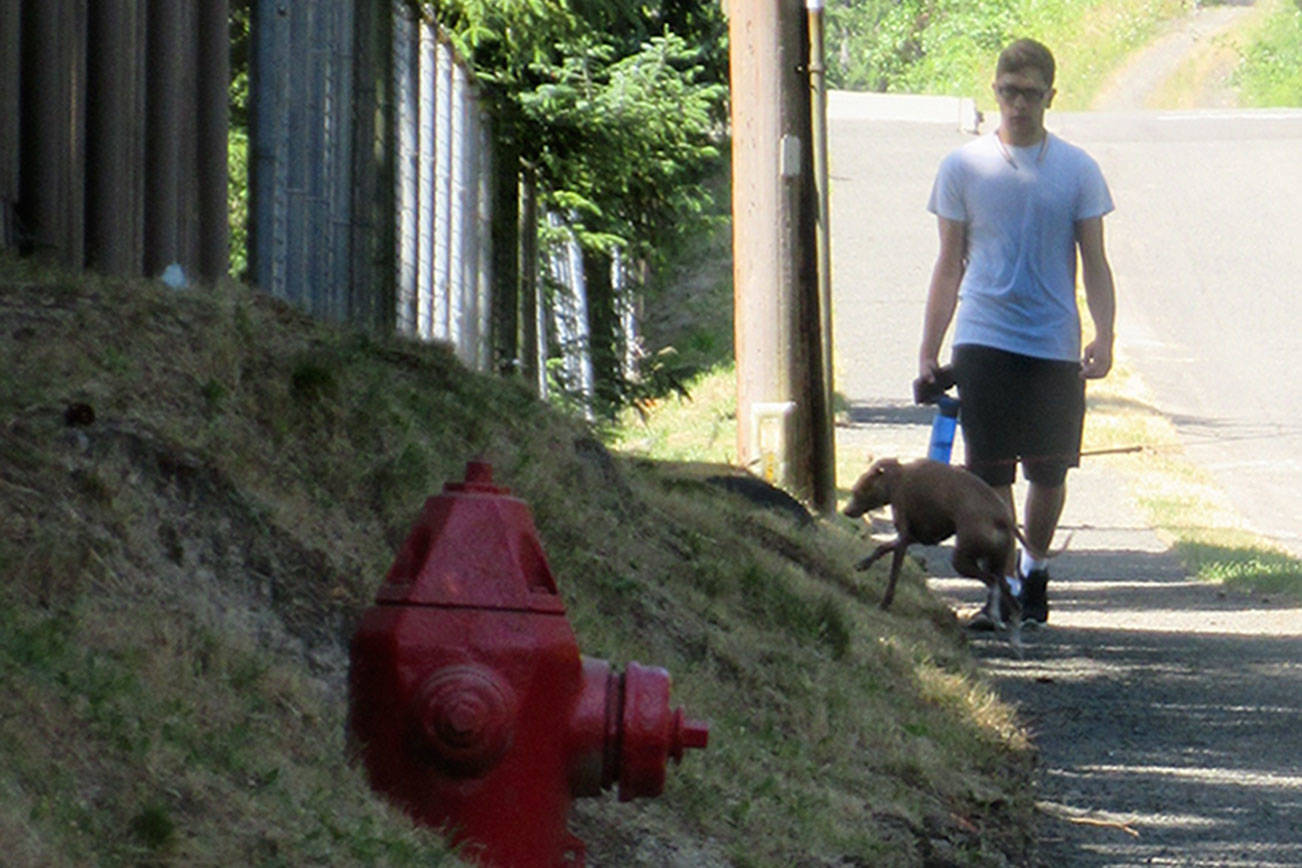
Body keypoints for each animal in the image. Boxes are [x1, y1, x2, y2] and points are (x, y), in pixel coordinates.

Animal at [843, 460, 1036, 650]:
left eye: (858, 491)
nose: (845, 511)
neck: (897, 474)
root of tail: (1004, 517)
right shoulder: (915, 537)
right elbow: (882, 547)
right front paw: (864, 563)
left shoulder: (904, 535)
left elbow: (893, 577)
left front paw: (884, 604)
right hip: (996, 563)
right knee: (1014, 603)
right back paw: (1015, 642)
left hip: (963, 561)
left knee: (992, 582)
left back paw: (996, 616)